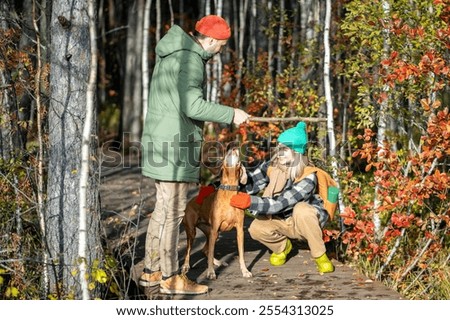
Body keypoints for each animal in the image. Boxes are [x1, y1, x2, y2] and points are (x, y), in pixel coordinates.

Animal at [180, 146, 251, 278]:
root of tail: (190, 202)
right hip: (193, 231)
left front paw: (245, 271)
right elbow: (211, 252)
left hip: (213, 232)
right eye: (227, 154)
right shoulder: (214, 229)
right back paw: (186, 266)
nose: (234, 148)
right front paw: (211, 272)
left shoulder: (239, 231)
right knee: (189, 251)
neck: (229, 193)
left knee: (205, 250)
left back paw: (218, 262)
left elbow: (241, 255)